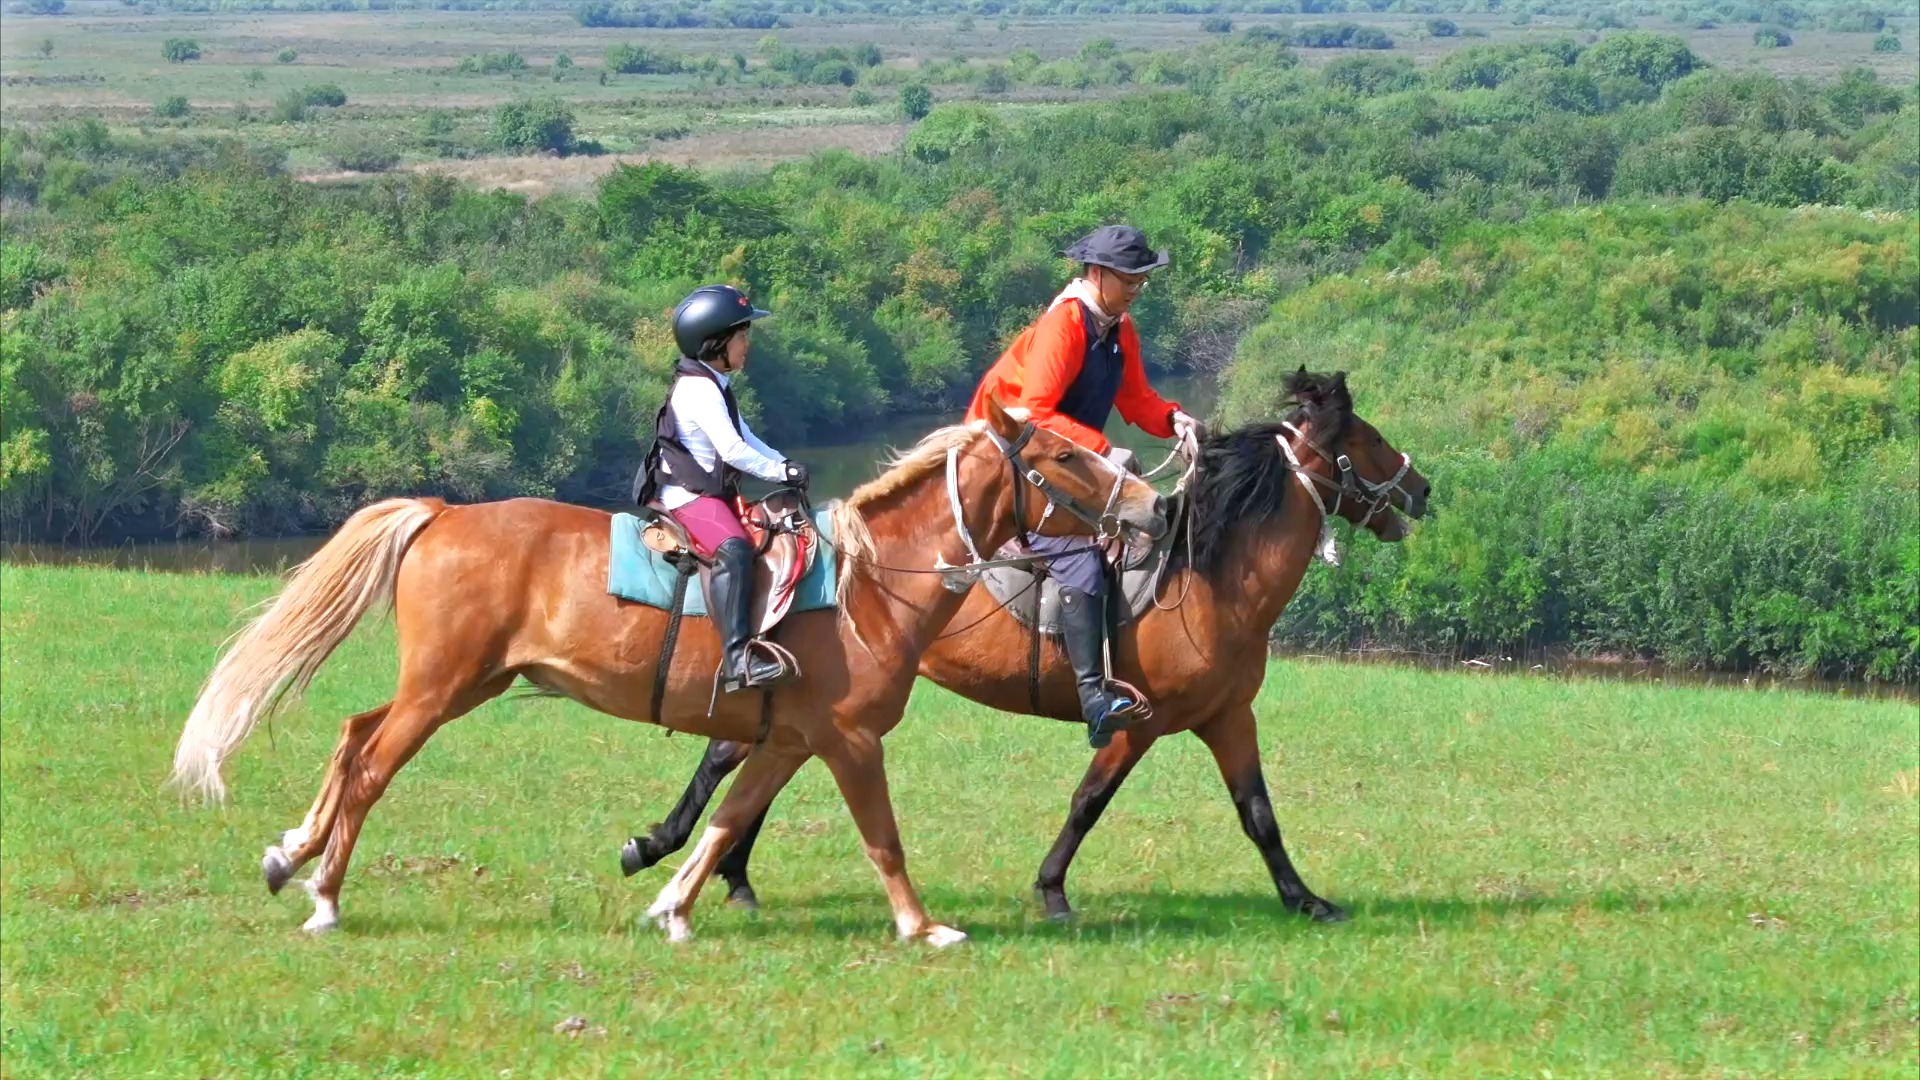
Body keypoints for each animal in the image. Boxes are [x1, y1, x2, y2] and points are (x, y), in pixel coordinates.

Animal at [176, 397, 1167, 941]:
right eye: (1063, 455)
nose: (1152, 507)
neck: (869, 585)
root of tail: (442, 512)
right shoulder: (850, 743)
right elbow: (881, 838)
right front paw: (924, 927)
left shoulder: (789, 743)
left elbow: (723, 827)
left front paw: (674, 909)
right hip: (442, 690)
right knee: (373, 765)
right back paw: (323, 896)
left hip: (462, 684)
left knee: (354, 736)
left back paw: (288, 856)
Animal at [622, 367, 1436, 914]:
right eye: (1366, 438)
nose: (1422, 488)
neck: (1211, 581)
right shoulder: (1136, 724)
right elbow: (1088, 801)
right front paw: (1051, 889)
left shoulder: (1228, 718)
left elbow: (1258, 814)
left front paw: (1305, 899)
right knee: (730, 753)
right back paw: (672, 848)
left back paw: (729, 872)